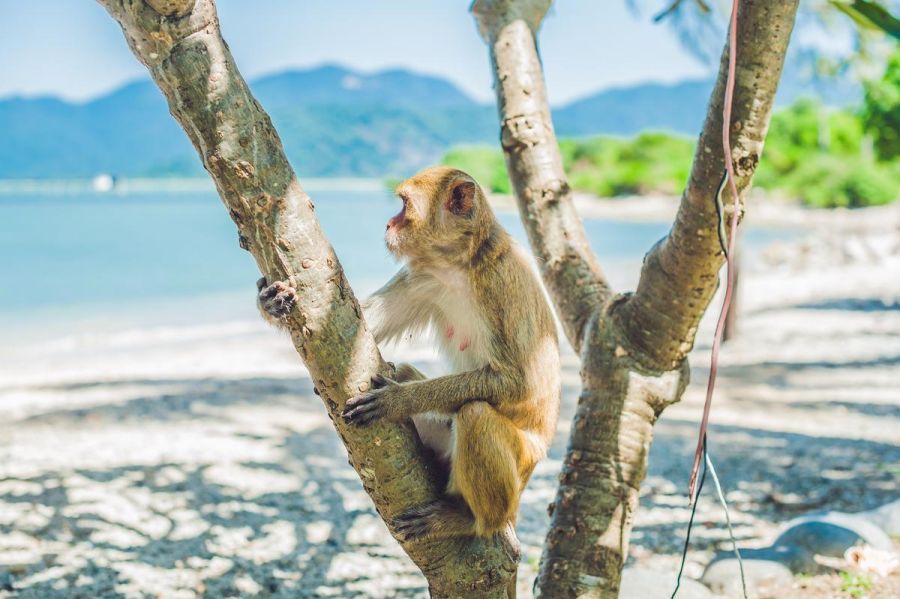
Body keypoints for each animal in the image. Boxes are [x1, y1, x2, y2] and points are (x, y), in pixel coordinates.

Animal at [257, 166, 560, 541]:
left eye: (404, 205)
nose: (388, 223)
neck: (458, 264)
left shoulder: (500, 282)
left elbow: (518, 383)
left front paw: (398, 400)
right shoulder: (422, 277)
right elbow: (357, 324)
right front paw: (271, 301)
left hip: (522, 464)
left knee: (475, 414)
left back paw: (471, 521)